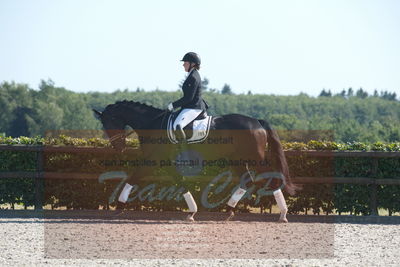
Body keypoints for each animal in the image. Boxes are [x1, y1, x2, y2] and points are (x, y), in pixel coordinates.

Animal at [94, 100, 300, 222]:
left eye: (108, 122)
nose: (118, 147)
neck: (152, 124)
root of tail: (257, 122)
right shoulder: (166, 163)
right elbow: (180, 183)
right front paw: (192, 211)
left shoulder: (153, 160)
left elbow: (133, 178)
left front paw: (119, 206)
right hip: (238, 160)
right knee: (249, 180)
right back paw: (230, 210)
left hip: (253, 159)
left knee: (270, 178)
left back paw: (281, 213)